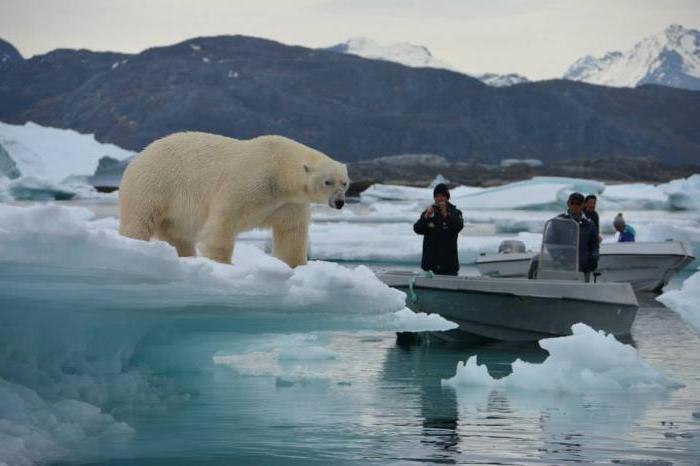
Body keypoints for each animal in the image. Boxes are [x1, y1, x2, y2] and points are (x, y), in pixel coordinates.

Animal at [121, 133, 352, 268]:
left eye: (345, 182)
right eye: (328, 181)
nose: (339, 202)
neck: (279, 170)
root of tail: (141, 154)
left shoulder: (288, 203)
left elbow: (291, 231)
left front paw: (295, 265)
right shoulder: (250, 181)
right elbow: (224, 219)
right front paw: (221, 262)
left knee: (177, 235)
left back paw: (185, 256)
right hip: (154, 184)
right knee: (140, 219)